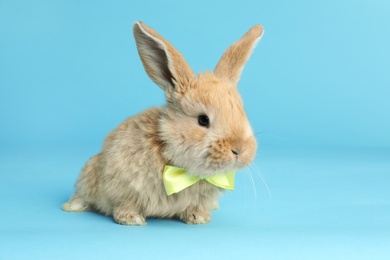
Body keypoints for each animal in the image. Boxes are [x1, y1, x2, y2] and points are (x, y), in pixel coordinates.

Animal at [63, 21, 266, 225]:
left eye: (242, 112)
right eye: (203, 119)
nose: (239, 150)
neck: (182, 170)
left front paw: (199, 218)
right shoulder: (123, 188)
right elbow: (125, 204)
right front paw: (132, 219)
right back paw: (72, 206)